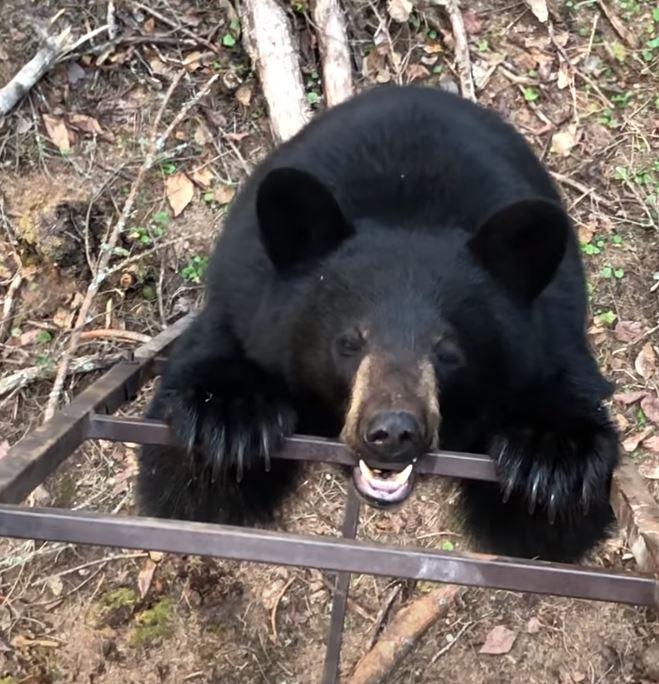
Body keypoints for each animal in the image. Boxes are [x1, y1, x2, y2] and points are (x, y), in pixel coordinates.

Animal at [138, 85, 620, 560]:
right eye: (348, 342)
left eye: (448, 353)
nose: (393, 432)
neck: (410, 212)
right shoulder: (243, 298)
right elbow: (186, 479)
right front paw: (229, 421)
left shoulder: (553, 333)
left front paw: (550, 457)